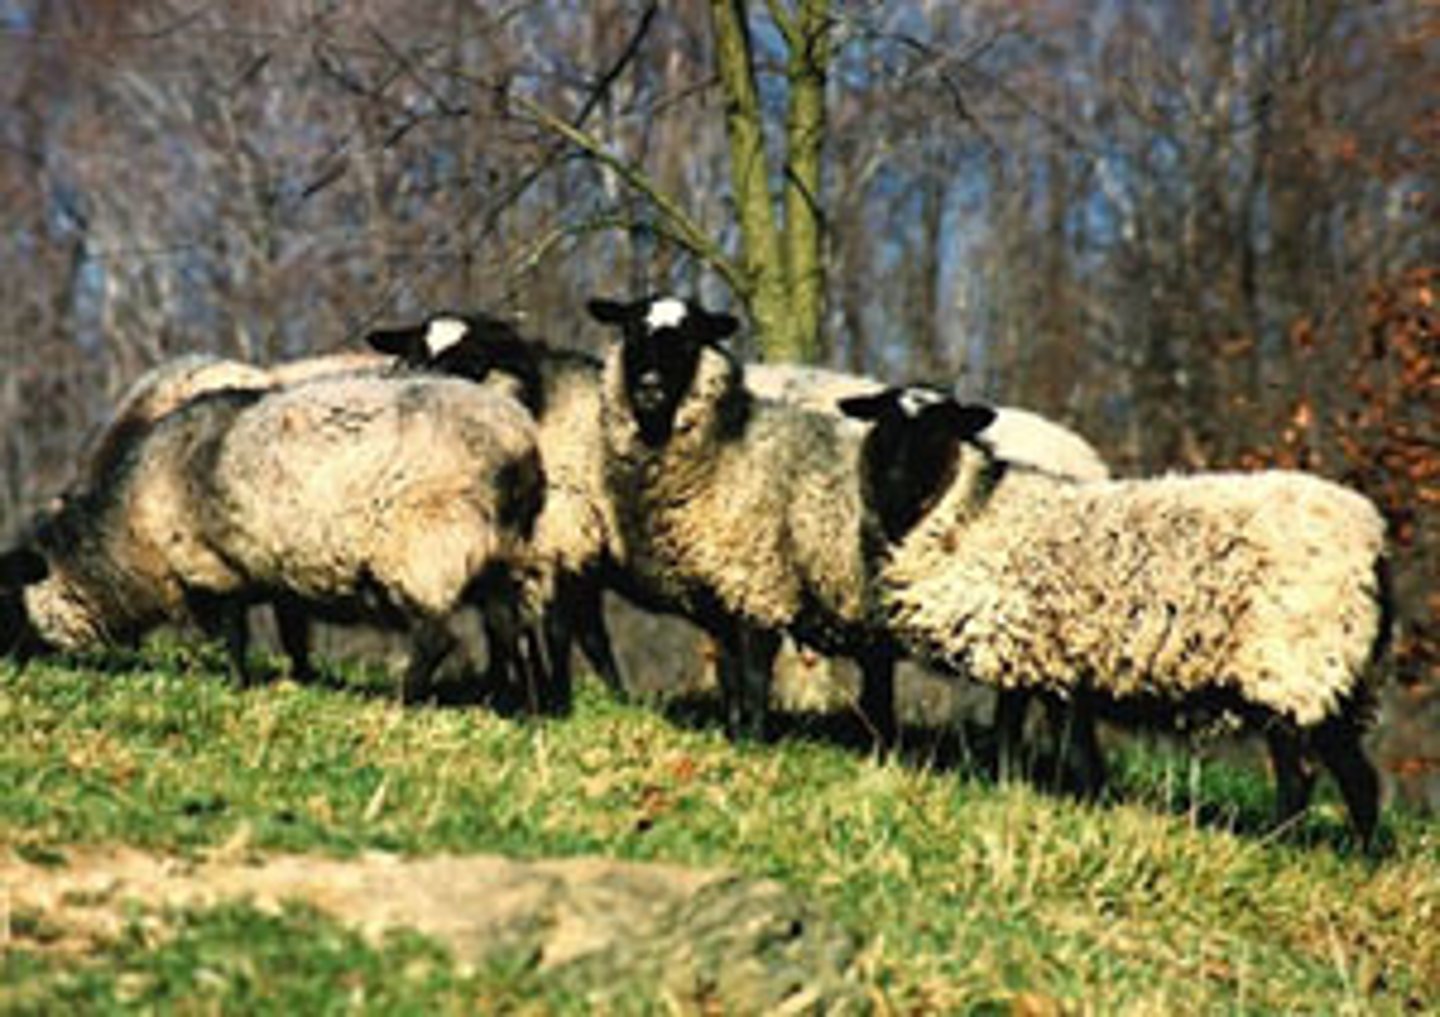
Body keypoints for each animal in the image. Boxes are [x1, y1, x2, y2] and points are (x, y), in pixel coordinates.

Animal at [0, 373, 546, 705]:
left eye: (6, 600)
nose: (10, 667)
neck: (129, 531)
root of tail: (517, 441)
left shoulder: (213, 570)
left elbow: (233, 637)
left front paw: (237, 685)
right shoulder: (284, 575)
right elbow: (292, 634)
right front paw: (302, 680)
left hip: (425, 548)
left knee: (436, 637)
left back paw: (405, 699)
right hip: (501, 556)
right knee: (505, 627)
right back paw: (510, 701)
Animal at [838, 385, 1392, 842]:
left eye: (941, 428)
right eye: (883, 423)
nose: (895, 485)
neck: (972, 512)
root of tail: (1373, 544)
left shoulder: (1028, 654)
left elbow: (1037, 739)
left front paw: (1041, 793)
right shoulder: (1044, 663)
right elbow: (1055, 741)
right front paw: (1065, 796)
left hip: (1291, 666)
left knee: (1301, 774)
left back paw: (1276, 844)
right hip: (1335, 676)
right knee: (1359, 777)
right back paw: (1361, 856)